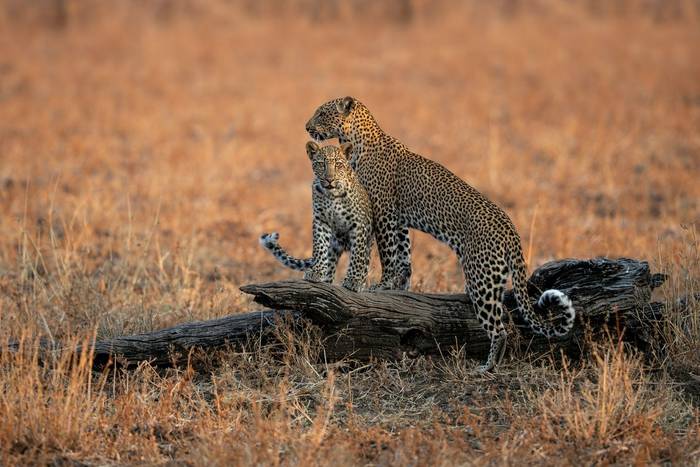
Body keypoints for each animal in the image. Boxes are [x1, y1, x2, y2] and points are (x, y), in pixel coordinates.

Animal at [260, 141, 373, 292]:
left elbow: (357, 255)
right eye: (320, 164)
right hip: (333, 246)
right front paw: (316, 271)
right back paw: (325, 280)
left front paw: (354, 280)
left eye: (338, 164)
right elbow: (320, 246)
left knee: (364, 260)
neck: (333, 194)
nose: (329, 179)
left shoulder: (358, 224)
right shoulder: (321, 220)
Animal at [305, 96, 576, 371]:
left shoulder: (384, 212)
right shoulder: (399, 219)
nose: (307, 127)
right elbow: (403, 256)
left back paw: (486, 367)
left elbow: (388, 254)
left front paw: (382, 285)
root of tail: (511, 229)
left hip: (481, 276)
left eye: (322, 113)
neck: (359, 139)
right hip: (492, 276)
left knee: (499, 328)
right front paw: (400, 287)